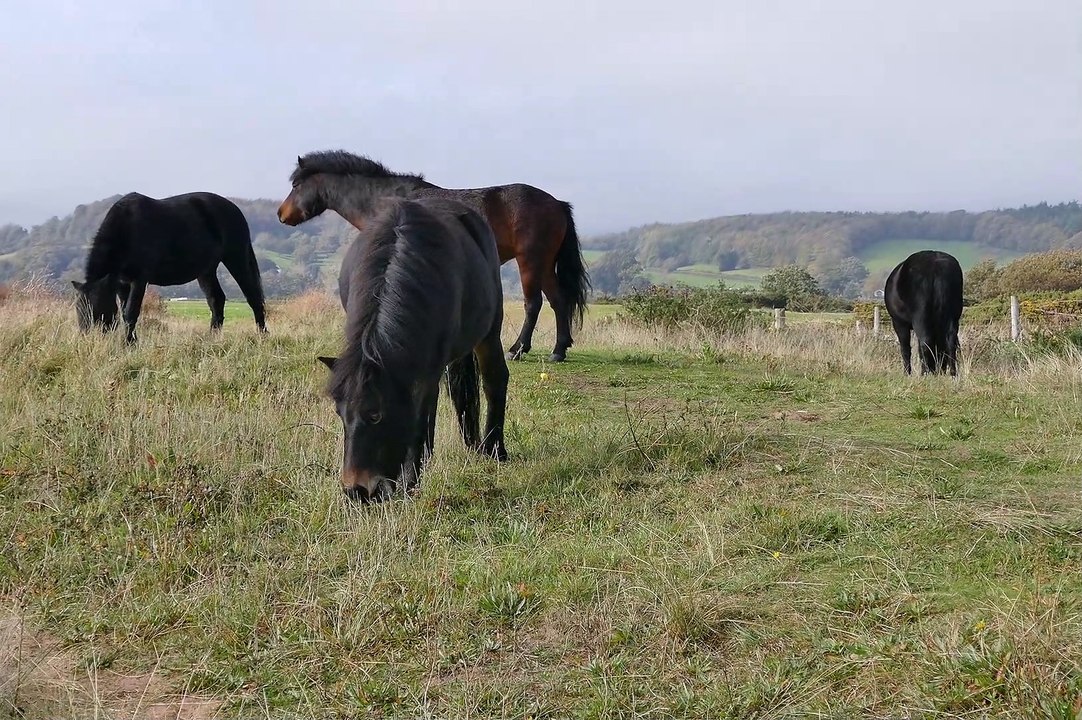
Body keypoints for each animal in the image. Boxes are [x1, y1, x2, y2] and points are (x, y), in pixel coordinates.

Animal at [72, 192, 267, 343]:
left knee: (253, 297)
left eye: (97, 306)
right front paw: (132, 342)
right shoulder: (121, 283)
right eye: (78, 308)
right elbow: (125, 313)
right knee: (216, 300)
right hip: (206, 270)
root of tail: (235, 209)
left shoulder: (139, 280)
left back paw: (262, 335)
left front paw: (128, 344)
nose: (87, 338)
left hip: (236, 258)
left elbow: (131, 313)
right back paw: (212, 337)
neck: (127, 229)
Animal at [277, 150, 591, 362]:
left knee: (533, 304)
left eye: (295, 186)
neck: (383, 200)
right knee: (558, 301)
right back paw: (559, 350)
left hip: (531, 262)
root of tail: (557, 203)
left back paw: (518, 349)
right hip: (545, 264)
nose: (281, 214)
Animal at [317, 196, 509, 502]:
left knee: (494, 380)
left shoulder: (429, 368)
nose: (357, 491)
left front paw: (409, 481)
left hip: (489, 332)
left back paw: (494, 449)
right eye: (339, 414)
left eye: (376, 415)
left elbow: (420, 417)